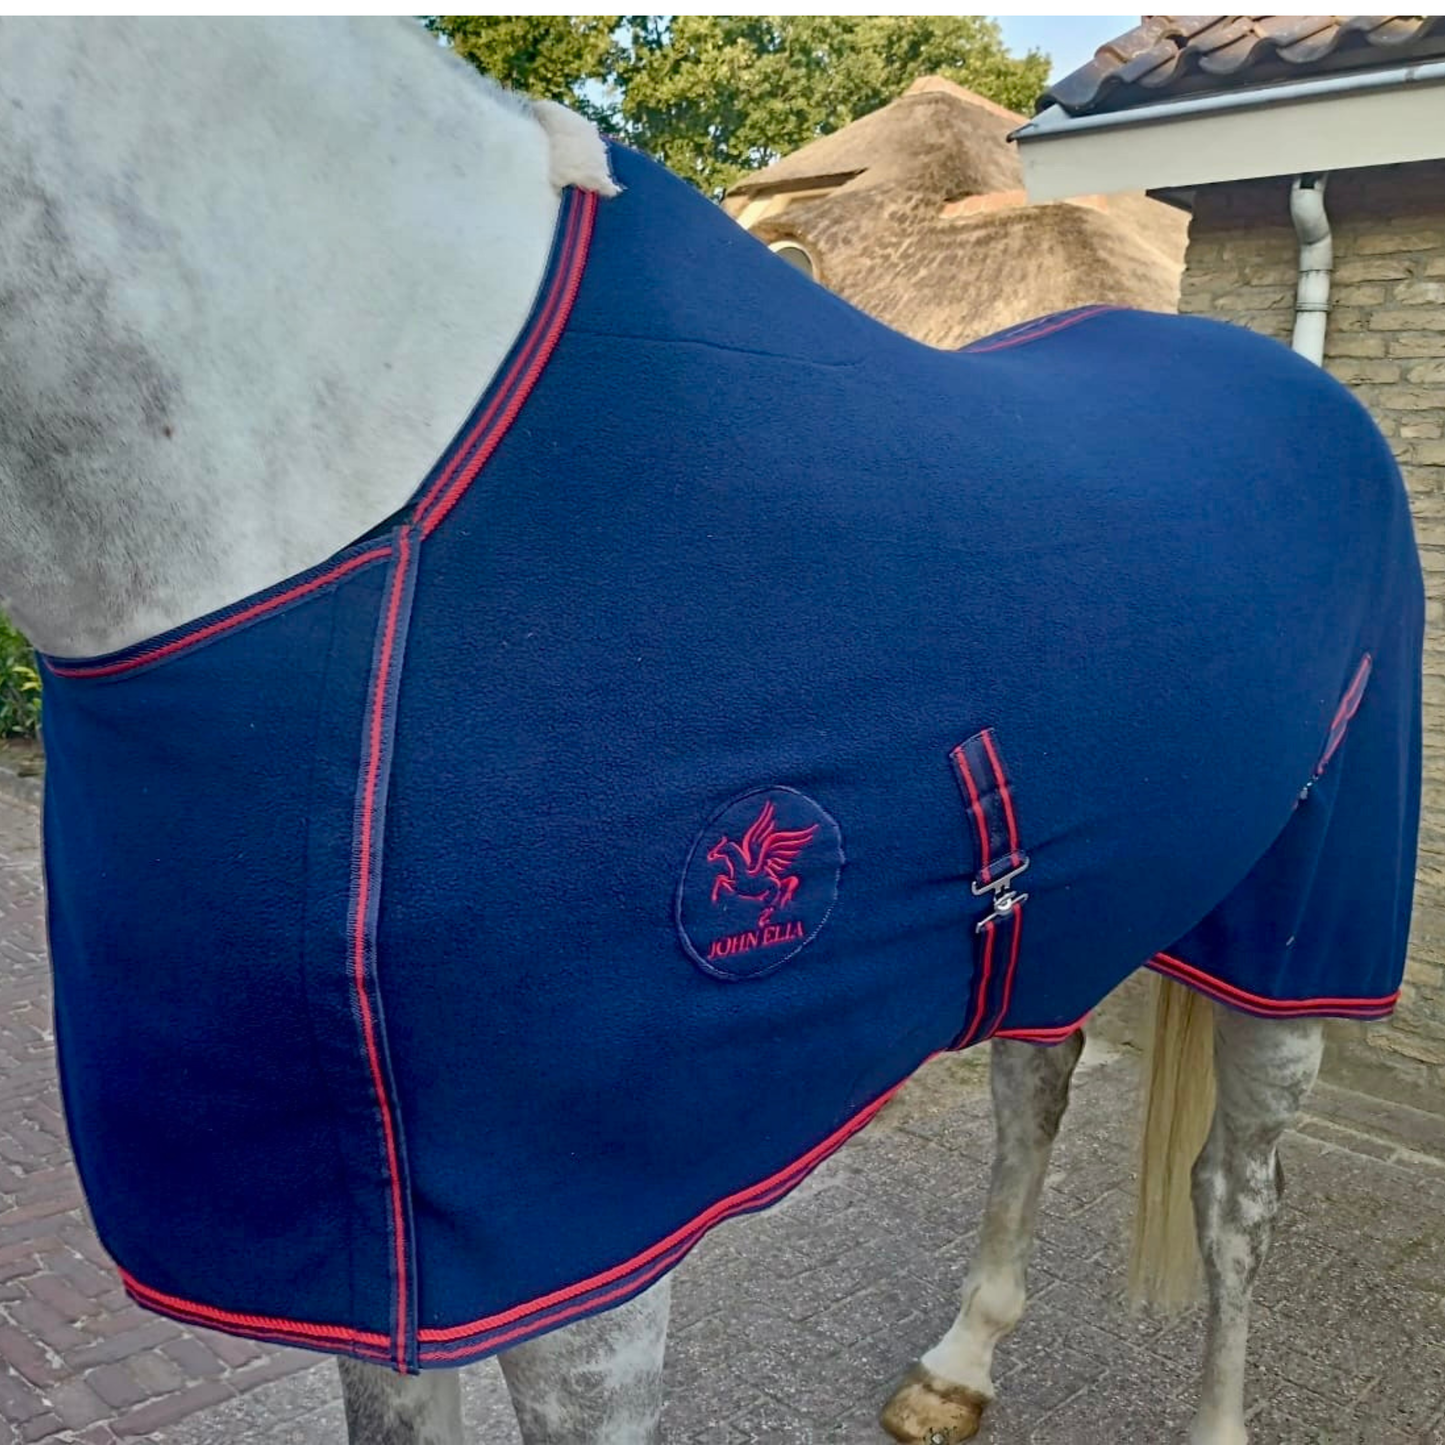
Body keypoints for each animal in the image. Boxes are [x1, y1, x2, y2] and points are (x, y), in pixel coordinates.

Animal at [0, 18, 1423, 1445]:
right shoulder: (387, 1277)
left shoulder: (584, 1260)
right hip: (1072, 911)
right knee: (1037, 1088)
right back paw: (959, 1363)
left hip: (1305, 931)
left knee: (1234, 1199)